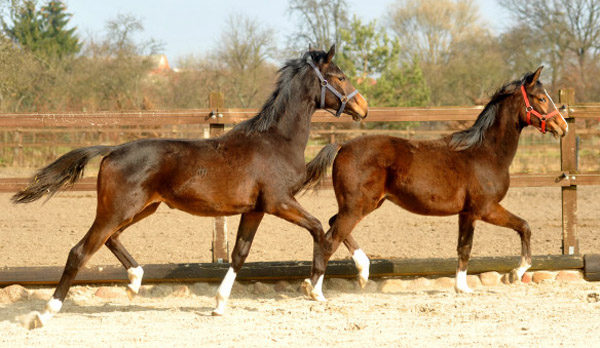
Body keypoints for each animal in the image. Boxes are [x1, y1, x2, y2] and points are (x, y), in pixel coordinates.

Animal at [11, 44, 368, 328]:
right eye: (339, 77)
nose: (363, 107)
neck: (276, 141)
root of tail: (112, 150)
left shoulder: (256, 209)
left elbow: (240, 253)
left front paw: (219, 305)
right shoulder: (280, 202)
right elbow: (322, 229)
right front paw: (319, 289)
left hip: (140, 208)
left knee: (110, 239)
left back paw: (134, 282)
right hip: (118, 209)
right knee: (80, 251)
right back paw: (44, 314)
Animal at [300, 67, 568, 300]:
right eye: (541, 98)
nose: (563, 126)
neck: (485, 153)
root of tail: (342, 146)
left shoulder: (467, 213)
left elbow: (464, 247)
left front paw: (462, 288)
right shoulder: (486, 209)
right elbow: (524, 227)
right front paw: (514, 273)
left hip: (362, 205)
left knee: (333, 225)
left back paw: (362, 273)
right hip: (357, 206)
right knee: (330, 239)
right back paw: (316, 292)